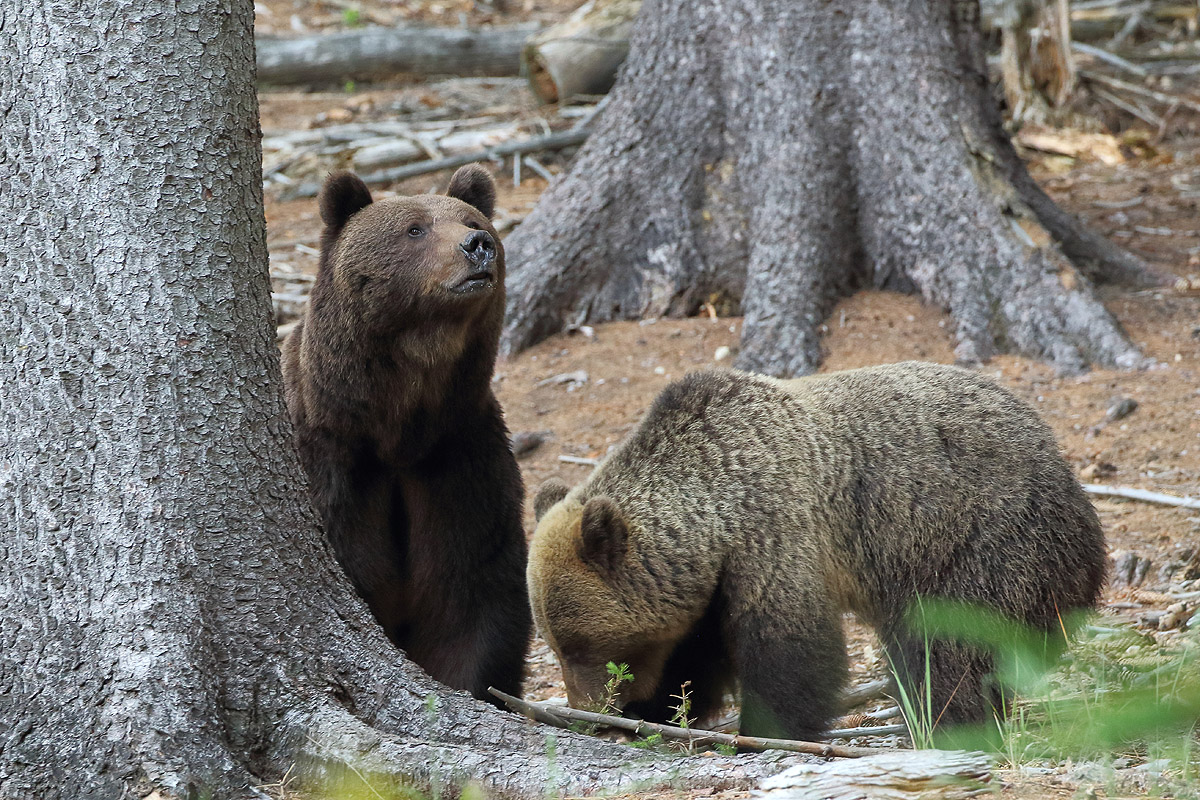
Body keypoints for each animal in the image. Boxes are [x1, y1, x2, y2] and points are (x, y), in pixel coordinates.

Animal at [285, 164, 530, 700]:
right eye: (414, 229)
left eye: (469, 219)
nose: (478, 245)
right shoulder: (333, 464)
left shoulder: (458, 461)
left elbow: (469, 601)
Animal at [528, 362, 1104, 738]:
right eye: (556, 645)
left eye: (581, 645)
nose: (589, 710)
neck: (715, 508)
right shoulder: (710, 587)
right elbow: (694, 657)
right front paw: (659, 710)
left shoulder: (773, 534)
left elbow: (789, 650)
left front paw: (767, 728)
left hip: (976, 543)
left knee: (946, 648)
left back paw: (944, 721)